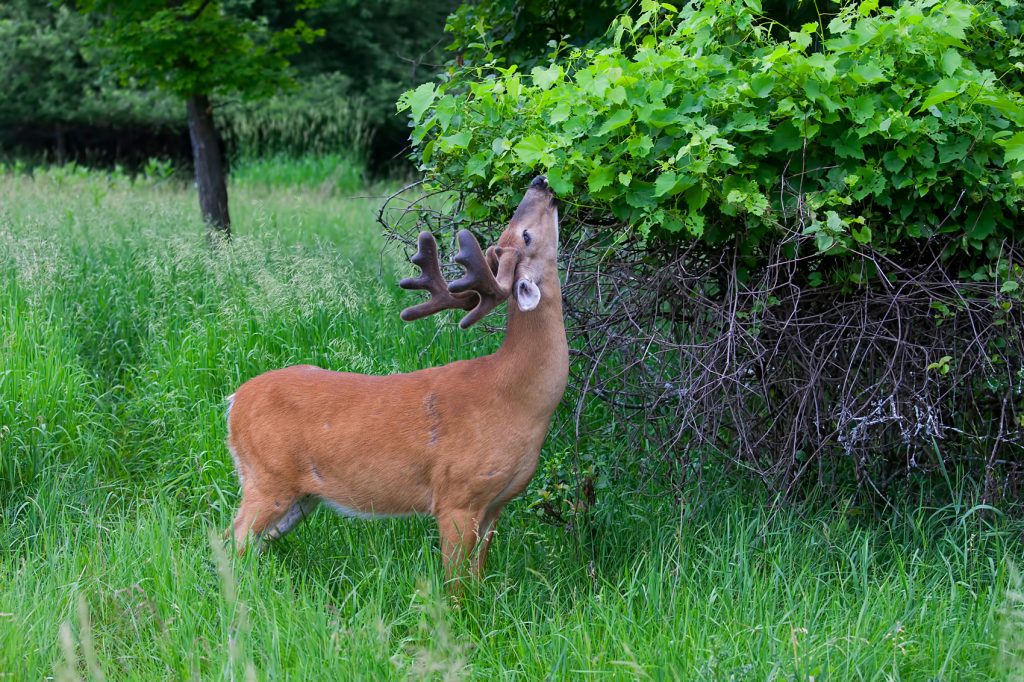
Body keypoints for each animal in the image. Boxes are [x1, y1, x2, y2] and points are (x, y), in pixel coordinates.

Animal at [223, 174, 569, 577]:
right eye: (525, 235)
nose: (541, 181)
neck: (515, 395)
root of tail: (234, 401)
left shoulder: (496, 504)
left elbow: (478, 578)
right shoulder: (456, 495)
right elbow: (455, 583)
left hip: (300, 495)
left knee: (252, 546)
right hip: (267, 477)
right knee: (233, 539)